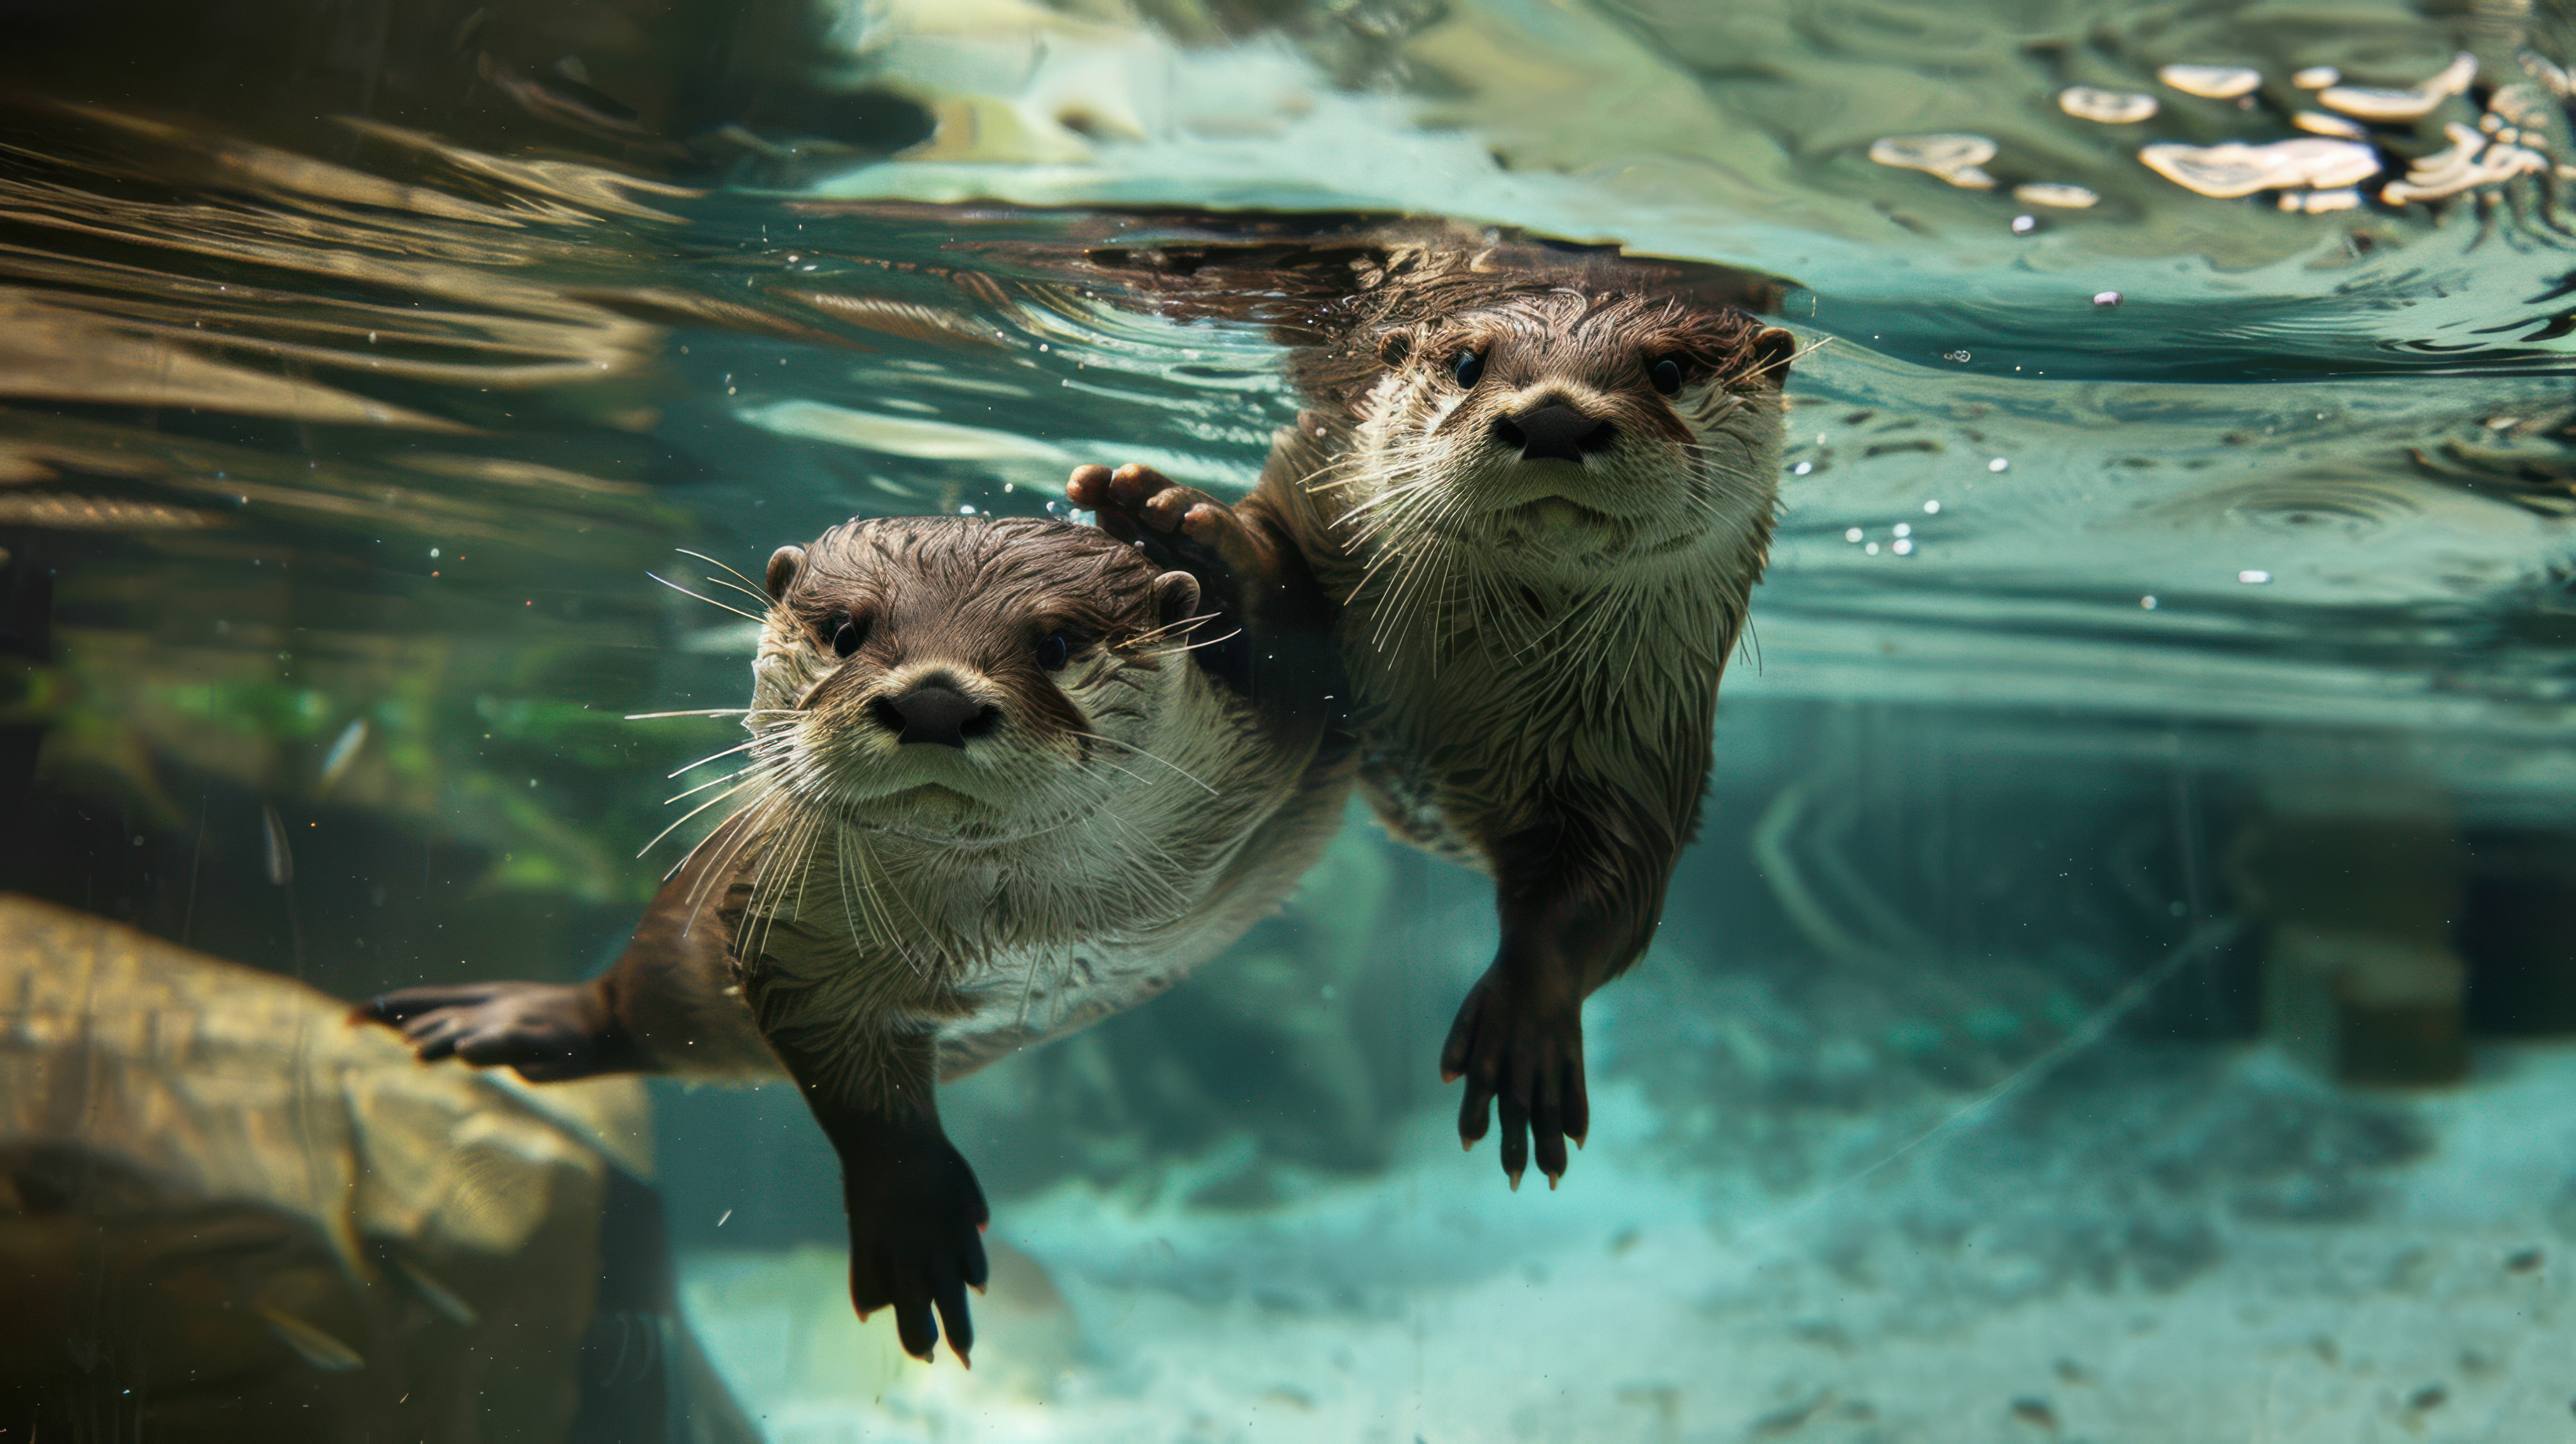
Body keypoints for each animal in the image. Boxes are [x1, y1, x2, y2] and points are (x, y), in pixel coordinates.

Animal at [361, 496, 1347, 1364]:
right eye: (846, 631)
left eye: (1057, 643)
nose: (936, 700)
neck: (1028, 920)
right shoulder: (796, 929)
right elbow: (859, 1087)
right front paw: (913, 1223)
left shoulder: (1272, 756)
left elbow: (1312, 674)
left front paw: (1189, 524)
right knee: (623, 1009)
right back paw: (500, 1021)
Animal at [1072, 240, 1796, 1193]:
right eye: (1465, 365)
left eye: (1669, 369)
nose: (1554, 418)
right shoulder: (1321, 466)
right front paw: (1198, 540)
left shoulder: (1641, 738)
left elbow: (1614, 888)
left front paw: (1524, 1024)